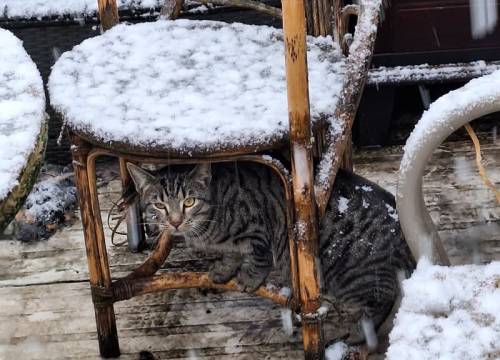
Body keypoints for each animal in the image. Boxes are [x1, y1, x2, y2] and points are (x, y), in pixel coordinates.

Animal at [127, 162, 416, 344]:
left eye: (189, 201)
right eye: (159, 205)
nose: (175, 222)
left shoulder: (260, 227)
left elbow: (257, 256)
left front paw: (248, 278)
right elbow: (230, 255)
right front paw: (222, 270)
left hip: (348, 273)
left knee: (384, 300)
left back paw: (358, 334)